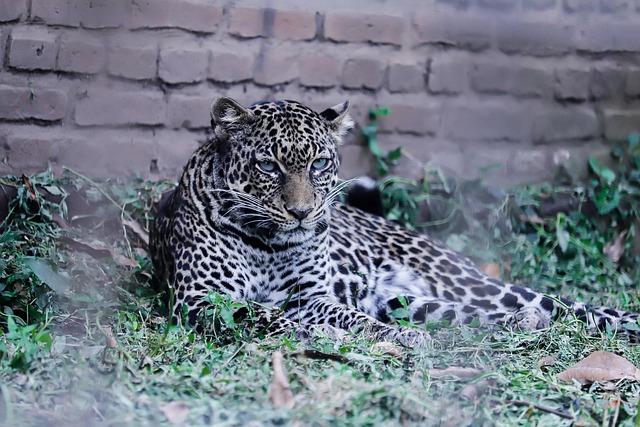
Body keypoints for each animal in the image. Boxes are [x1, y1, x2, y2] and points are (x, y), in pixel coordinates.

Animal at [149, 97, 639, 348]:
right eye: (268, 166)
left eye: (320, 163)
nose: (302, 212)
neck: (267, 242)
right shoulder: (200, 298)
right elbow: (271, 318)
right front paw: (325, 335)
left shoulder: (311, 296)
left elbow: (348, 317)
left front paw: (380, 337)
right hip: (408, 299)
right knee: (485, 316)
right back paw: (524, 324)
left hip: (464, 281)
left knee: (567, 306)